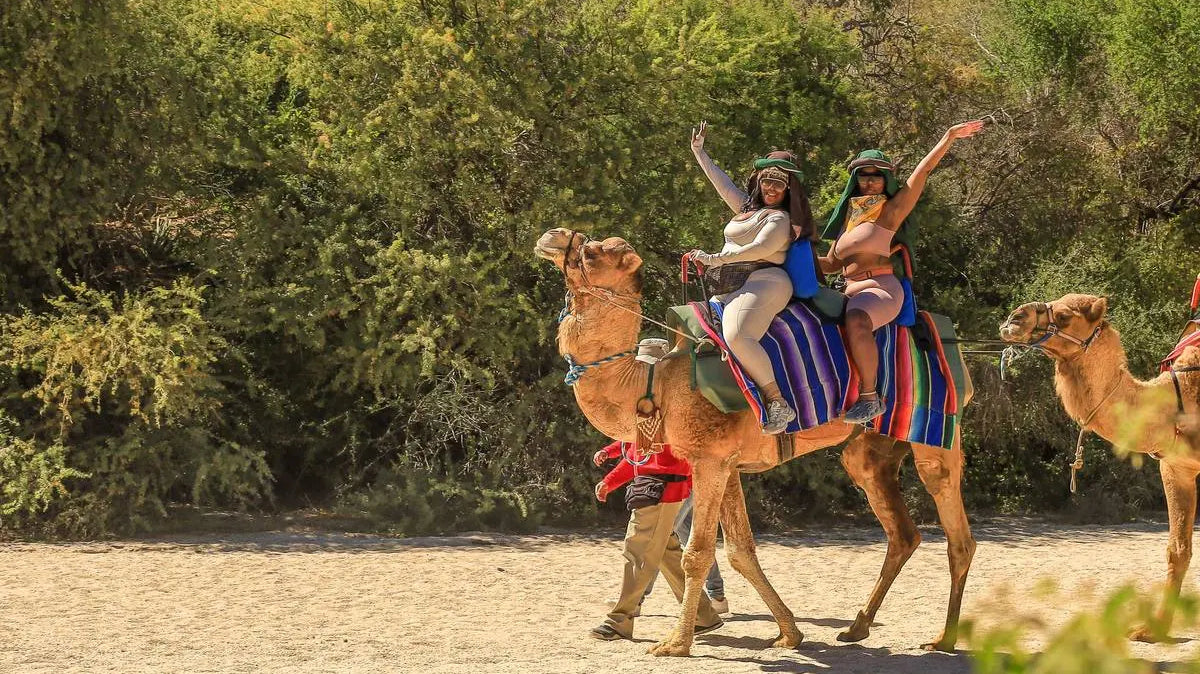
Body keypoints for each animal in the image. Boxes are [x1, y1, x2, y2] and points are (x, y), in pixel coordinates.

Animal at [534, 227, 977, 656]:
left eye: (592, 251)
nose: (552, 236)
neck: (656, 384)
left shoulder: (710, 461)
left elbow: (699, 553)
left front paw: (675, 643)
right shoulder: (727, 463)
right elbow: (740, 551)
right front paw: (789, 634)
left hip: (937, 434)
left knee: (958, 535)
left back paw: (944, 639)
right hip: (870, 449)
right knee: (902, 531)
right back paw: (857, 627)